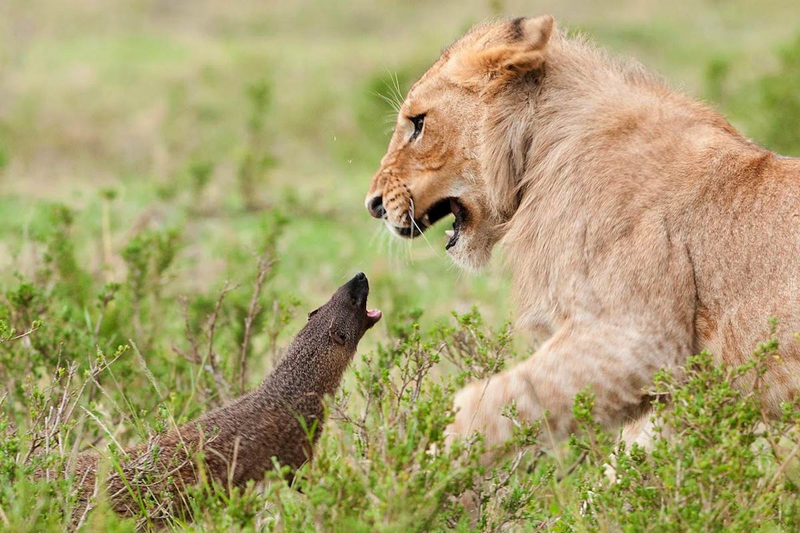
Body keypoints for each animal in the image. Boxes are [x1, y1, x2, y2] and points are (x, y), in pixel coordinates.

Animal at [366, 15, 800, 458]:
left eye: (418, 123)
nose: (374, 204)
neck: (540, 151)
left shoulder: (639, 341)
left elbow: (488, 404)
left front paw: (418, 465)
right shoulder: (677, 385)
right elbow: (629, 464)